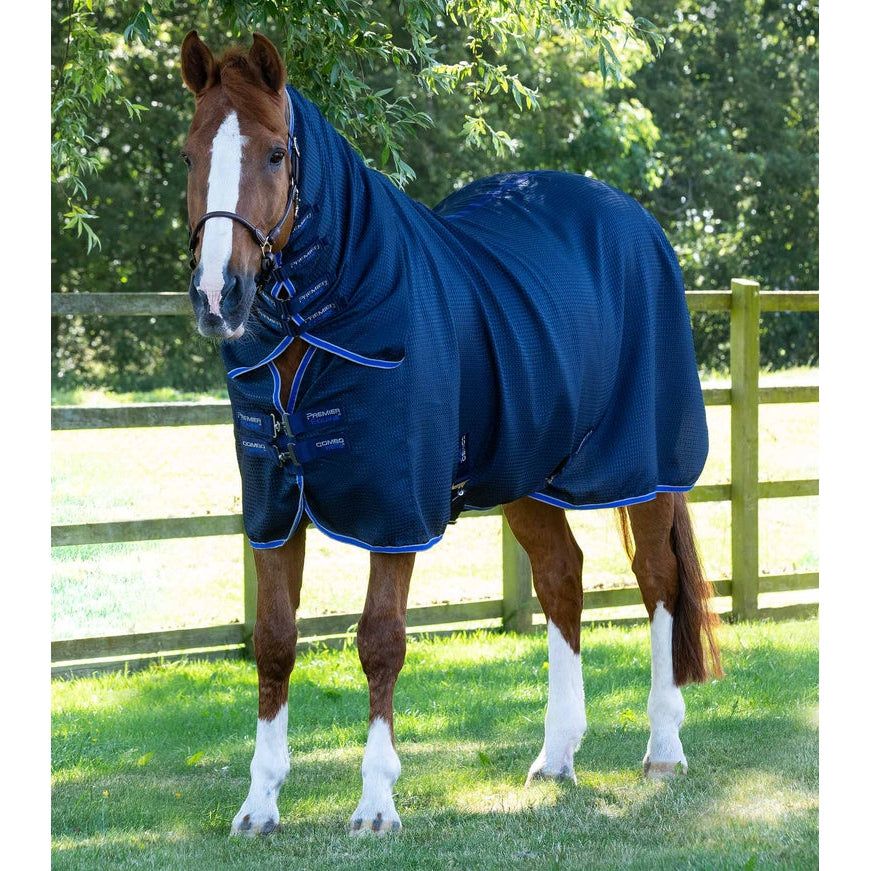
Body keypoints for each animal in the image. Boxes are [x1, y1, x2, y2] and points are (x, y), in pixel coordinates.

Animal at [180, 31, 722, 836]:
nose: (219, 296)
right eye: (189, 155)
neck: (326, 324)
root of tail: (635, 220)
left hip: (645, 466)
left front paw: (375, 803)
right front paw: (260, 803)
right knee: (561, 580)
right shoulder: (275, 507)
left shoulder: (396, 513)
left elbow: (379, 640)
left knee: (657, 584)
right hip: (527, 476)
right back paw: (556, 754)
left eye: (276, 153)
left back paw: (662, 747)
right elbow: (274, 641)